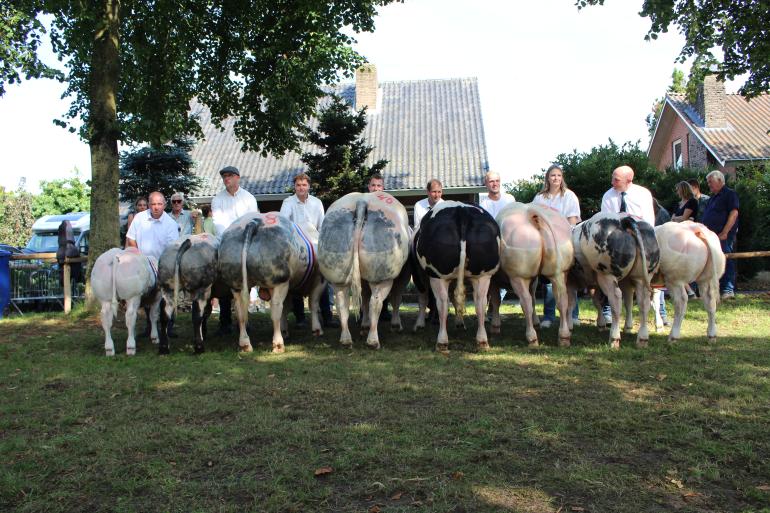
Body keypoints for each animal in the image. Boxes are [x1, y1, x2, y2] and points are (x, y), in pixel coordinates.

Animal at [216, 211, 324, 352]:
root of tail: (254, 222)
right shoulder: (319, 281)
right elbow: (313, 304)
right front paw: (317, 330)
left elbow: (287, 308)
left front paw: (285, 330)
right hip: (279, 281)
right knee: (275, 308)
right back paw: (278, 344)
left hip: (236, 283)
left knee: (240, 311)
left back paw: (245, 344)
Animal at [316, 190, 412, 350]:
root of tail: (362, 201)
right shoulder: (403, 275)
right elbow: (396, 298)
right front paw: (396, 325)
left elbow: (365, 298)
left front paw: (364, 325)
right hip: (381, 276)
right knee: (376, 302)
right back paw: (373, 341)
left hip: (337, 273)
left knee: (342, 303)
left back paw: (346, 340)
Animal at [414, 200, 498, 352]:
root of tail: (461, 210)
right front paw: (460, 323)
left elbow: (424, 298)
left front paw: (420, 324)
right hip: (482, 275)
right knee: (480, 302)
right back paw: (482, 341)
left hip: (438, 276)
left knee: (442, 303)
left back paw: (442, 342)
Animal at [488, 202, 572, 346]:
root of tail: (530, 213)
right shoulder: (534, 279)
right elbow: (533, 298)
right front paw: (536, 322)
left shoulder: (494, 280)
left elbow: (496, 301)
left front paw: (495, 326)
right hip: (559, 273)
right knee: (562, 300)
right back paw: (564, 337)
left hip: (518, 277)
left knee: (525, 302)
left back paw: (532, 337)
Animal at [568, 212, 660, 348]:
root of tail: (624, 220)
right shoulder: (595, 283)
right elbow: (597, 301)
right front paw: (601, 324)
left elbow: (571, 303)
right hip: (642, 277)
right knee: (643, 301)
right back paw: (642, 338)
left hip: (607, 274)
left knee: (616, 298)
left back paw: (614, 338)